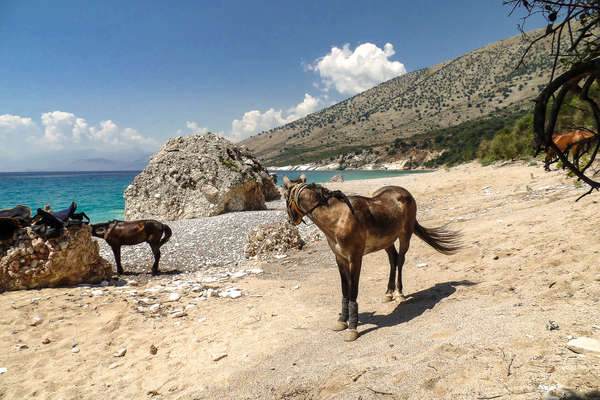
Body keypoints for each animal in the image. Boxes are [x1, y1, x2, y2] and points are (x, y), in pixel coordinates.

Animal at [282, 173, 464, 342]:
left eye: (284, 196)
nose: (291, 220)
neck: (337, 218)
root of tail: (405, 193)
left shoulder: (355, 259)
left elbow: (353, 291)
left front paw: (352, 328)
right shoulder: (340, 259)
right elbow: (344, 290)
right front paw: (342, 321)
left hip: (405, 235)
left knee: (400, 260)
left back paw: (399, 293)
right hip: (387, 241)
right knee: (393, 259)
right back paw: (389, 292)